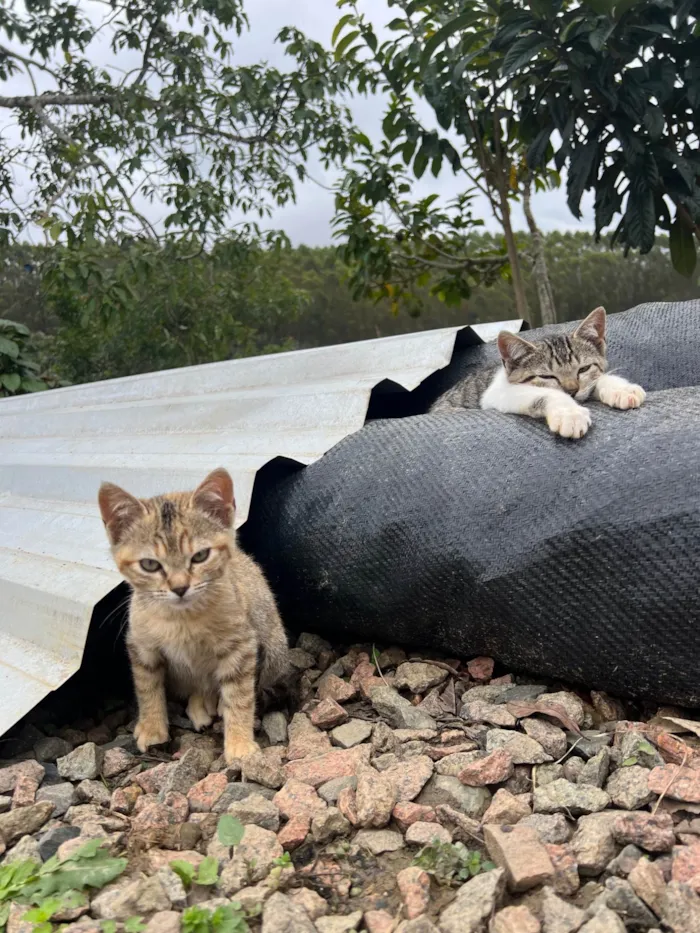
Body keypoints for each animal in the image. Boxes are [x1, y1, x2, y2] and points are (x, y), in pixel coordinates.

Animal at [97, 470, 288, 760]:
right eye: (149, 564)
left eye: (200, 556)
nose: (179, 587)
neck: (182, 619)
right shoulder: (142, 646)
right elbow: (147, 687)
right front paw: (152, 727)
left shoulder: (241, 646)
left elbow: (240, 696)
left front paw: (240, 744)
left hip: (273, 649)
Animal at [430, 306, 648, 436]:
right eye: (546, 376)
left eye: (584, 368)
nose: (572, 391)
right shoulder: (498, 393)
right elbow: (543, 393)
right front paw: (570, 413)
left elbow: (598, 380)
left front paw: (622, 389)